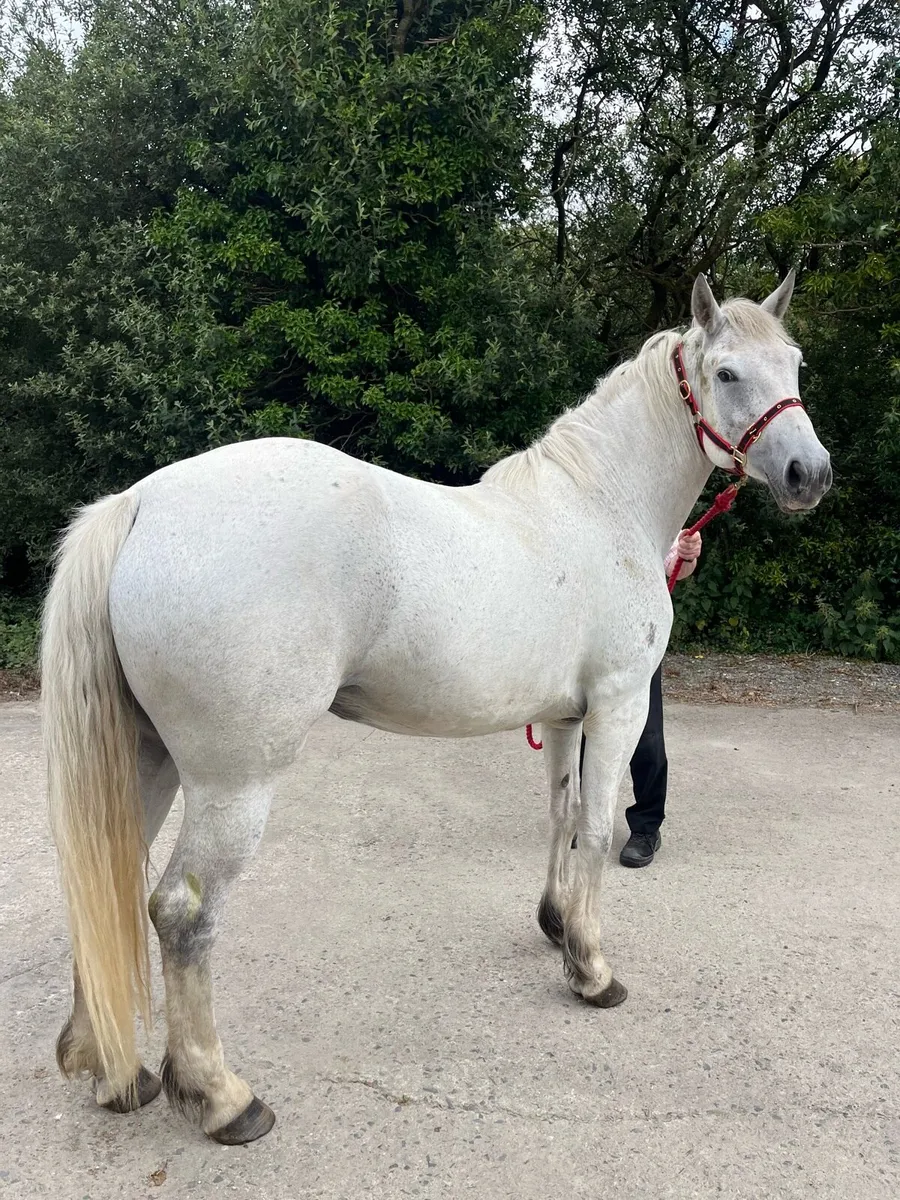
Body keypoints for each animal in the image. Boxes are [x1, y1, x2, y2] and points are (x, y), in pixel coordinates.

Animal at [42, 272, 831, 1144]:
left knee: (104, 877)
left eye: (794, 362)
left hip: (144, 757)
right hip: (233, 783)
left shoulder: (564, 717)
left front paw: (556, 926)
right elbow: (597, 830)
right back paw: (221, 1098)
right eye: (726, 372)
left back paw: (112, 1071)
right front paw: (592, 970)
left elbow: (560, 816)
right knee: (182, 913)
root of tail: (142, 503)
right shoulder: (618, 705)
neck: (600, 507)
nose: (810, 473)